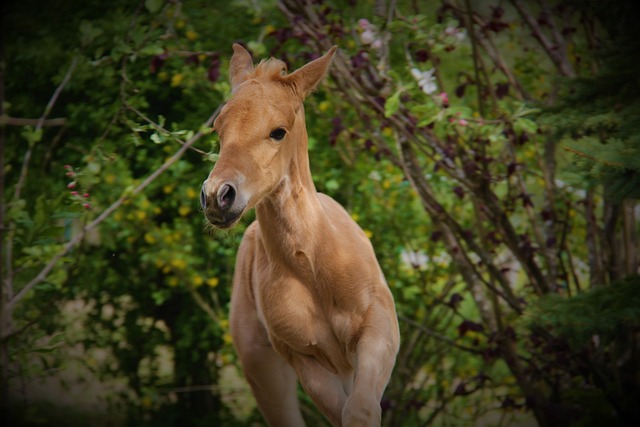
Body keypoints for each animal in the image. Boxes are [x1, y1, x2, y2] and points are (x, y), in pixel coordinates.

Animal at [201, 45, 400, 426]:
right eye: (218, 129)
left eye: (278, 131)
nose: (218, 197)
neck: (314, 266)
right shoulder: (305, 359)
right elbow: (344, 413)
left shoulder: (379, 330)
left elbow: (361, 410)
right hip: (265, 372)